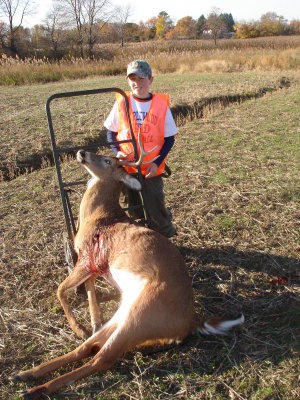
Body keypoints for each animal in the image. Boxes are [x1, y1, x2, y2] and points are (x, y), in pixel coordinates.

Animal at [12, 133, 245, 398]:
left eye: (107, 161)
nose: (82, 152)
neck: (99, 217)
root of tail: (191, 322)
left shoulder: (85, 260)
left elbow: (60, 290)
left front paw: (78, 327)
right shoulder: (93, 265)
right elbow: (88, 293)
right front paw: (91, 321)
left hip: (142, 314)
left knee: (102, 359)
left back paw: (36, 389)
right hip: (125, 311)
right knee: (90, 348)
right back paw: (25, 374)